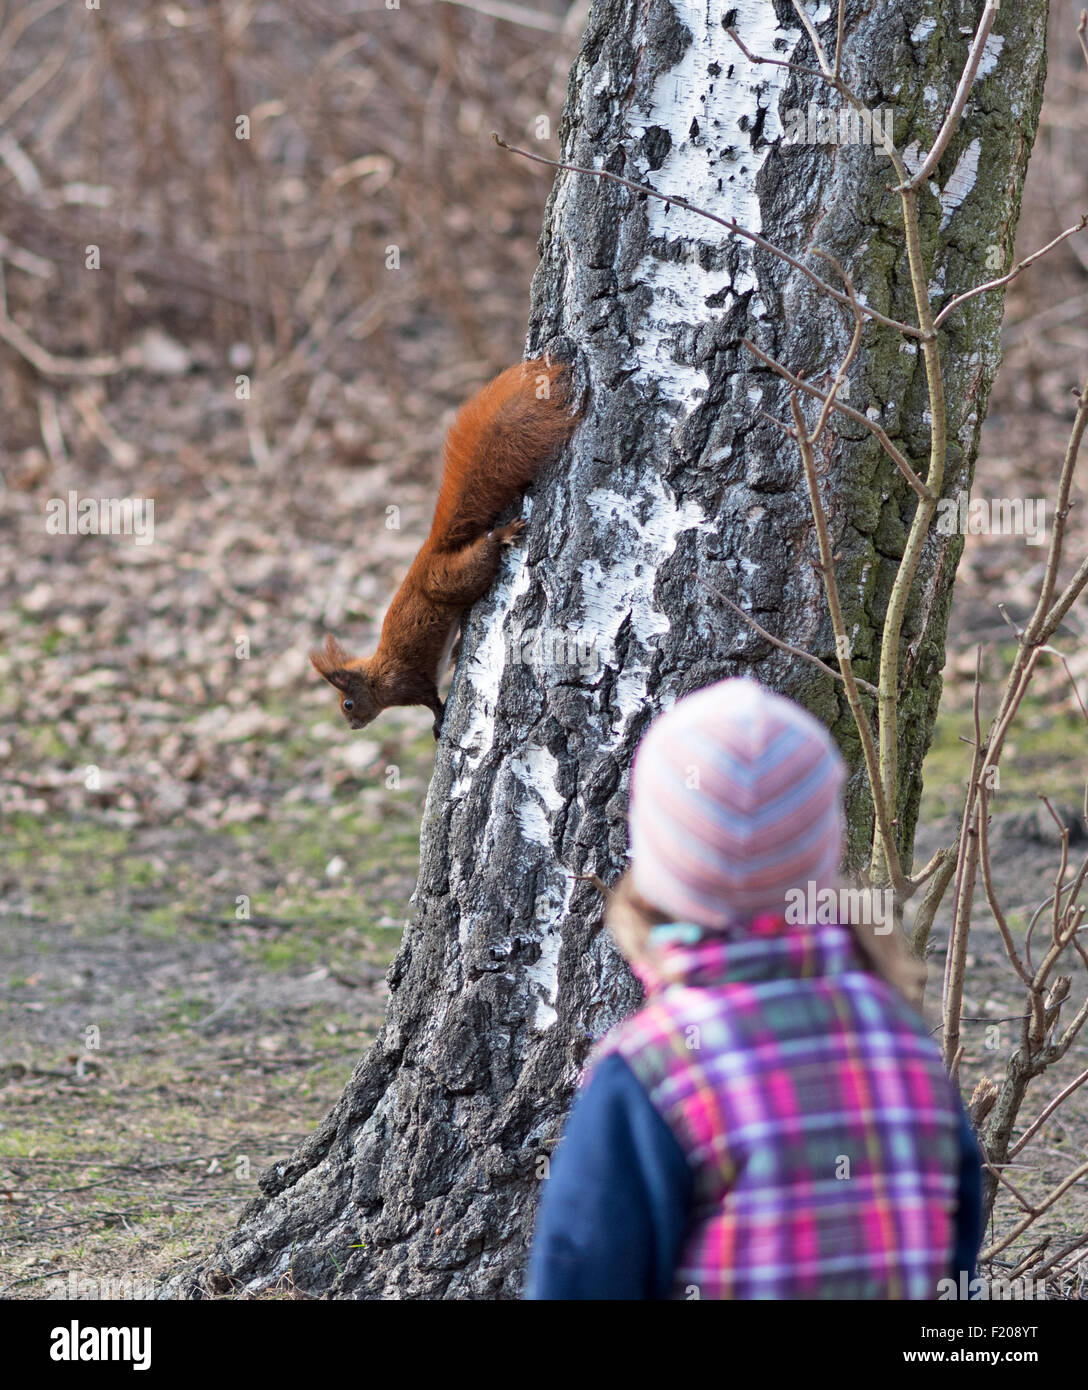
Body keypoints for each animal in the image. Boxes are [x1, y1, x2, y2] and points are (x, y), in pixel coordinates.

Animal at [311, 358, 578, 739]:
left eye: (347, 704)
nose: (353, 726)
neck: (377, 677)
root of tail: (432, 552)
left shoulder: (410, 683)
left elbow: (431, 700)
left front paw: (438, 723)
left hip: (452, 579)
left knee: (480, 558)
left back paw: (502, 535)